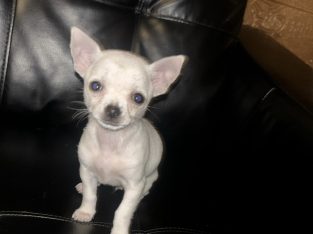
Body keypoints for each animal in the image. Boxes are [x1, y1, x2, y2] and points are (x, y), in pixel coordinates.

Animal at [69, 27, 185, 234]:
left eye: (138, 98)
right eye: (95, 86)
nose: (113, 109)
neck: (111, 140)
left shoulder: (134, 186)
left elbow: (123, 211)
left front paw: (119, 230)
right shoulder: (87, 169)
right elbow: (91, 195)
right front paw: (85, 212)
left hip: (150, 178)